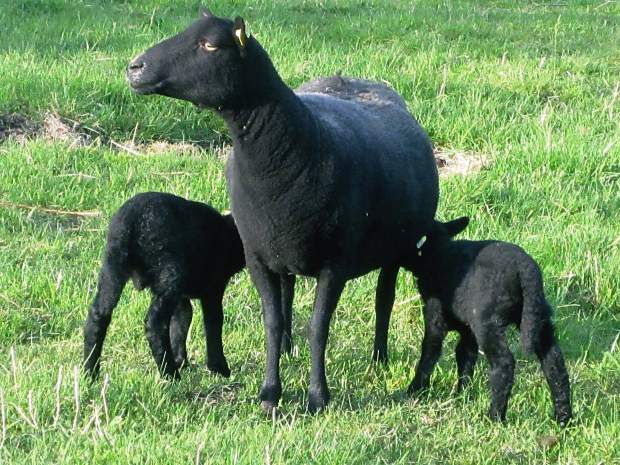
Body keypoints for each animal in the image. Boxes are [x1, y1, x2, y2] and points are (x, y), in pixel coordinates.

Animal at [82, 191, 294, 376]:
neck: (229, 235)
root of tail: (130, 223)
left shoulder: (182, 296)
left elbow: (182, 320)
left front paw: (180, 359)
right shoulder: (213, 287)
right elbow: (214, 321)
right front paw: (219, 368)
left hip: (113, 267)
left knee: (98, 314)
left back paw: (90, 371)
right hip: (170, 269)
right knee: (155, 322)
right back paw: (170, 374)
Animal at [126, 10, 438, 410]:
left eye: (210, 45)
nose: (135, 67)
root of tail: (352, 78)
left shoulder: (335, 263)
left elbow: (319, 327)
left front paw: (318, 397)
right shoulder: (258, 256)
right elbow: (272, 323)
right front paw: (270, 393)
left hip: (396, 248)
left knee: (384, 298)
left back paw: (379, 357)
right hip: (282, 246)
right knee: (289, 291)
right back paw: (290, 350)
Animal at [402, 216, 572, 422]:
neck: (438, 252)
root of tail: (527, 270)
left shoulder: (435, 315)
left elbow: (430, 351)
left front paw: (416, 390)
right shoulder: (468, 329)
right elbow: (465, 355)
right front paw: (463, 395)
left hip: (487, 321)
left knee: (504, 363)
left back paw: (495, 416)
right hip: (538, 316)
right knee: (554, 362)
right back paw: (563, 417)